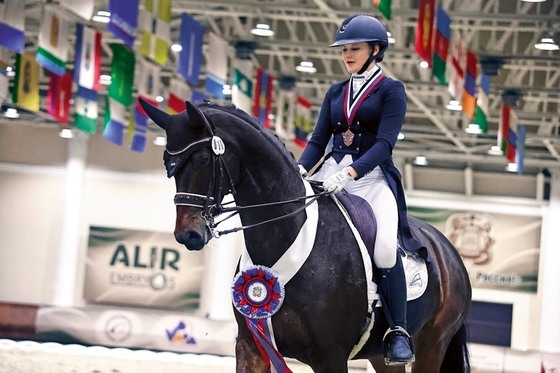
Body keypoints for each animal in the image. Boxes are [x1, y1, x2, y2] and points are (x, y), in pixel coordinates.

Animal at [140, 99, 472, 372]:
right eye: (167, 164)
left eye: (202, 160)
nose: (188, 234)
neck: (285, 236)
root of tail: (446, 249)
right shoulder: (251, 347)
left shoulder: (330, 356)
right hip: (379, 354)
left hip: (432, 343)